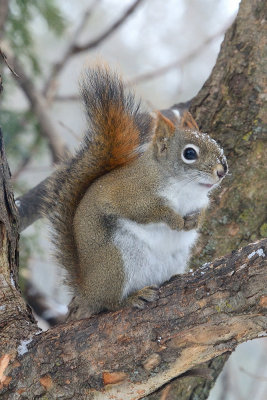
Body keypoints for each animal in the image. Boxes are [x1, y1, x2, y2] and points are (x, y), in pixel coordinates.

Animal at [43, 65, 229, 316]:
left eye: (216, 144)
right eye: (189, 153)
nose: (222, 171)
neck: (185, 188)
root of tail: (87, 289)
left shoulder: (199, 201)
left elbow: (200, 213)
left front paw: (193, 221)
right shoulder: (130, 194)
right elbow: (147, 211)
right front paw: (174, 220)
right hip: (115, 263)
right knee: (109, 303)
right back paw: (131, 298)